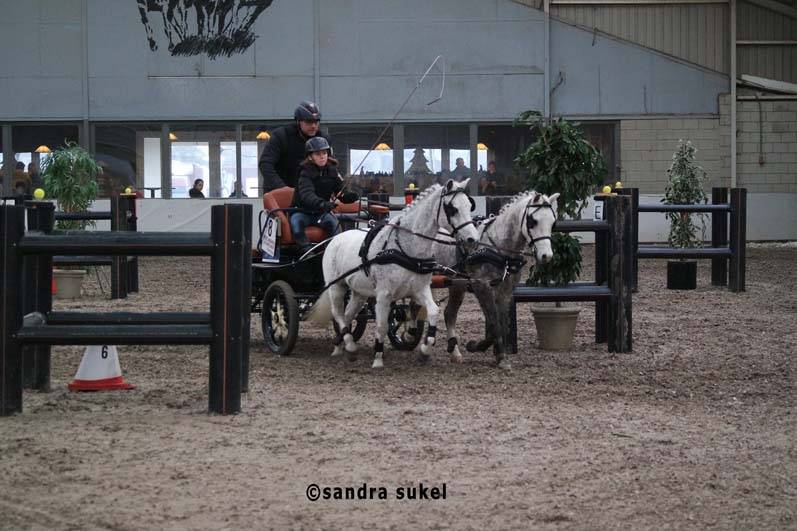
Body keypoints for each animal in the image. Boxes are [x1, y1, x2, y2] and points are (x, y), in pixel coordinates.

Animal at [309, 179, 480, 368]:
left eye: (469, 205)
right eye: (453, 209)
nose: (473, 239)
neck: (405, 249)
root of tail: (335, 239)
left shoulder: (419, 289)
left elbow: (433, 311)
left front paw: (425, 350)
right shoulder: (384, 294)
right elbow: (382, 325)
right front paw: (378, 358)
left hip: (359, 292)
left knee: (347, 315)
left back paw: (342, 347)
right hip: (336, 287)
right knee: (337, 313)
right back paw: (348, 345)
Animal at [433, 191, 559, 370]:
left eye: (553, 222)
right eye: (533, 221)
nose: (546, 256)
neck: (497, 248)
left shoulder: (505, 290)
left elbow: (502, 322)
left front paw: (500, 356)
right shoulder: (481, 286)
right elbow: (493, 323)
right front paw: (476, 346)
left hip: (456, 286)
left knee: (449, 313)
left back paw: (454, 352)